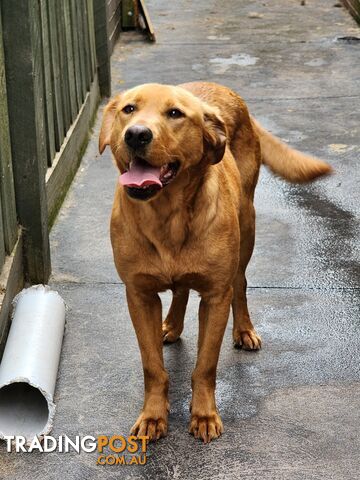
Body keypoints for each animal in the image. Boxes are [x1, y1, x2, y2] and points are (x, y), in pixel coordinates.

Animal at [99, 81, 332, 442]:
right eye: (129, 110)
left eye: (175, 113)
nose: (136, 135)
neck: (167, 217)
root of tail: (222, 89)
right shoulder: (139, 295)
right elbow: (153, 367)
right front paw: (153, 416)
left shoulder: (215, 297)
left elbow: (205, 365)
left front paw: (204, 415)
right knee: (180, 290)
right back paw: (172, 324)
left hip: (247, 227)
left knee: (241, 283)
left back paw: (245, 330)